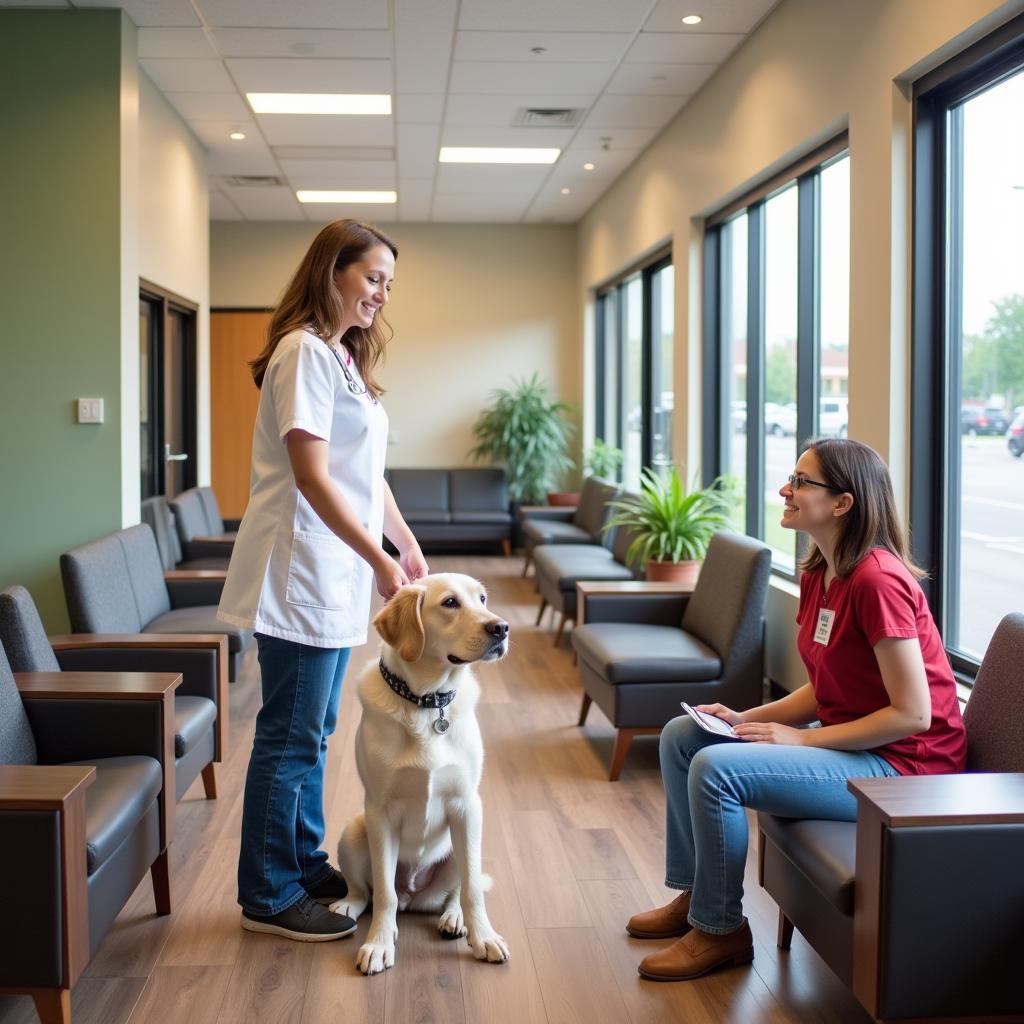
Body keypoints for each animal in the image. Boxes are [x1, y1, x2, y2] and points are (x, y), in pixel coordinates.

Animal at [335, 573, 512, 970]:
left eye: (482, 599)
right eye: (449, 603)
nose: (501, 628)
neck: (428, 703)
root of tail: (414, 896)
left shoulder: (466, 805)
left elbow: (473, 891)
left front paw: (485, 937)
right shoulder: (380, 812)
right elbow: (383, 894)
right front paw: (379, 944)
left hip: (466, 841)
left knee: (457, 891)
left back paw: (455, 919)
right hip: (353, 833)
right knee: (368, 891)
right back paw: (349, 906)